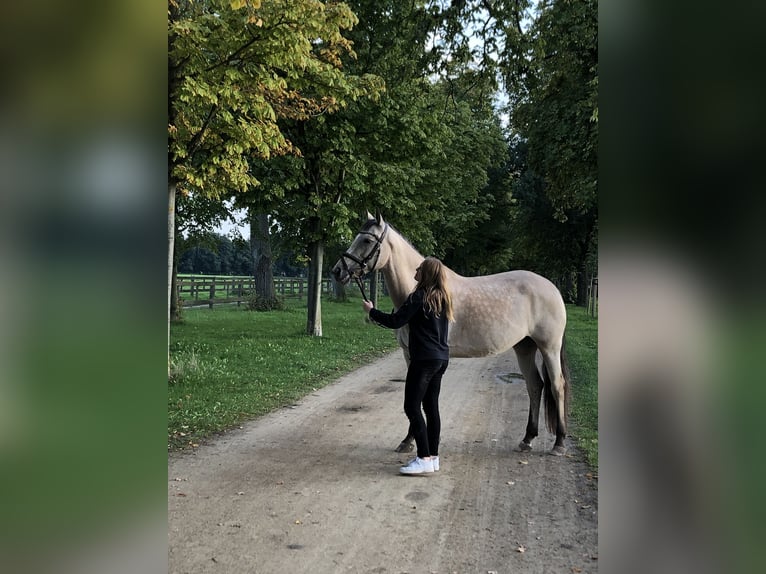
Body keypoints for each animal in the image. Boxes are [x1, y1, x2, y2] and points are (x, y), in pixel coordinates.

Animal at [332, 209, 572, 456]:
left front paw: (412, 441)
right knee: (534, 385)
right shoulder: (410, 355)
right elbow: (413, 393)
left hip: (549, 347)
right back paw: (527, 438)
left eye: (367, 240)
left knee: (557, 385)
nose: (337, 270)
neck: (426, 291)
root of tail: (553, 288)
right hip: (524, 347)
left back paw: (559, 443)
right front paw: (409, 440)